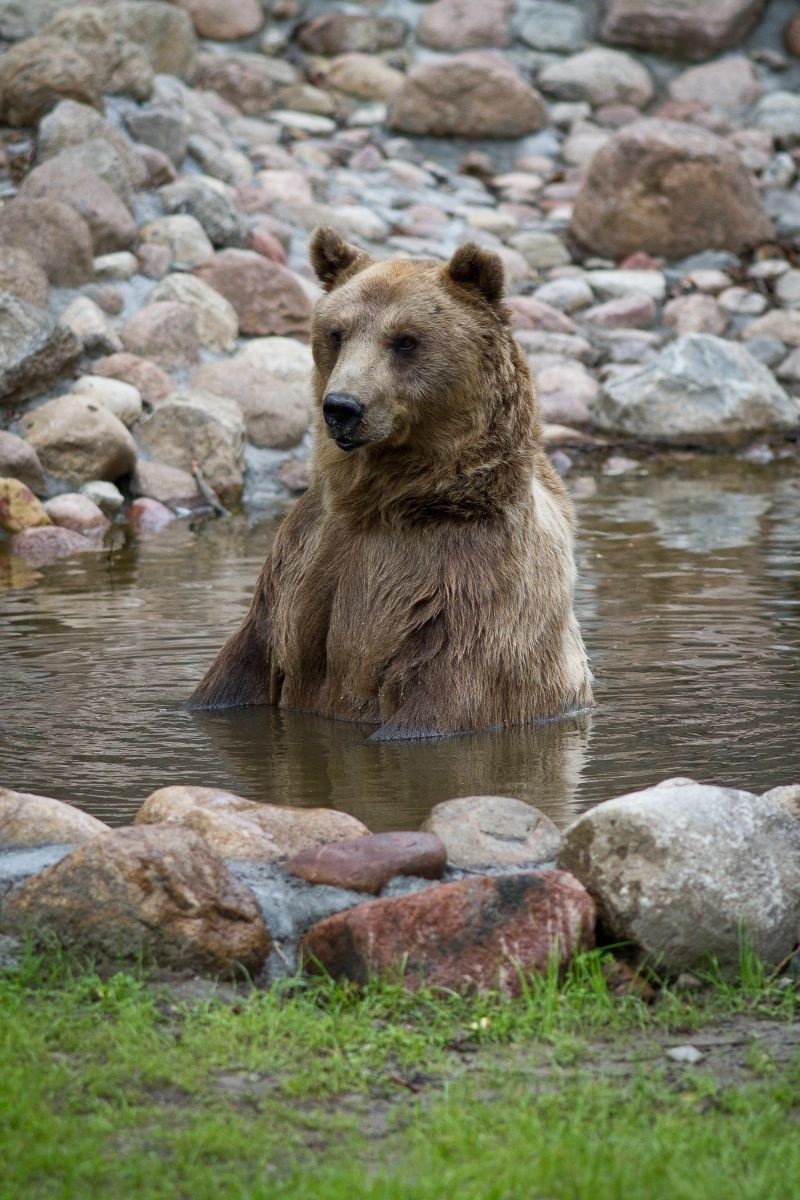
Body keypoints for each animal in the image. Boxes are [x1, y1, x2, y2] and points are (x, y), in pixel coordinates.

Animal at [185, 223, 587, 729]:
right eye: (337, 332)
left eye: (406, 340)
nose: (341, 407)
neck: (385, 501)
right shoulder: (296, 566)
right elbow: (239, 669)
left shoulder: (471, 583)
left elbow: (444, 695)